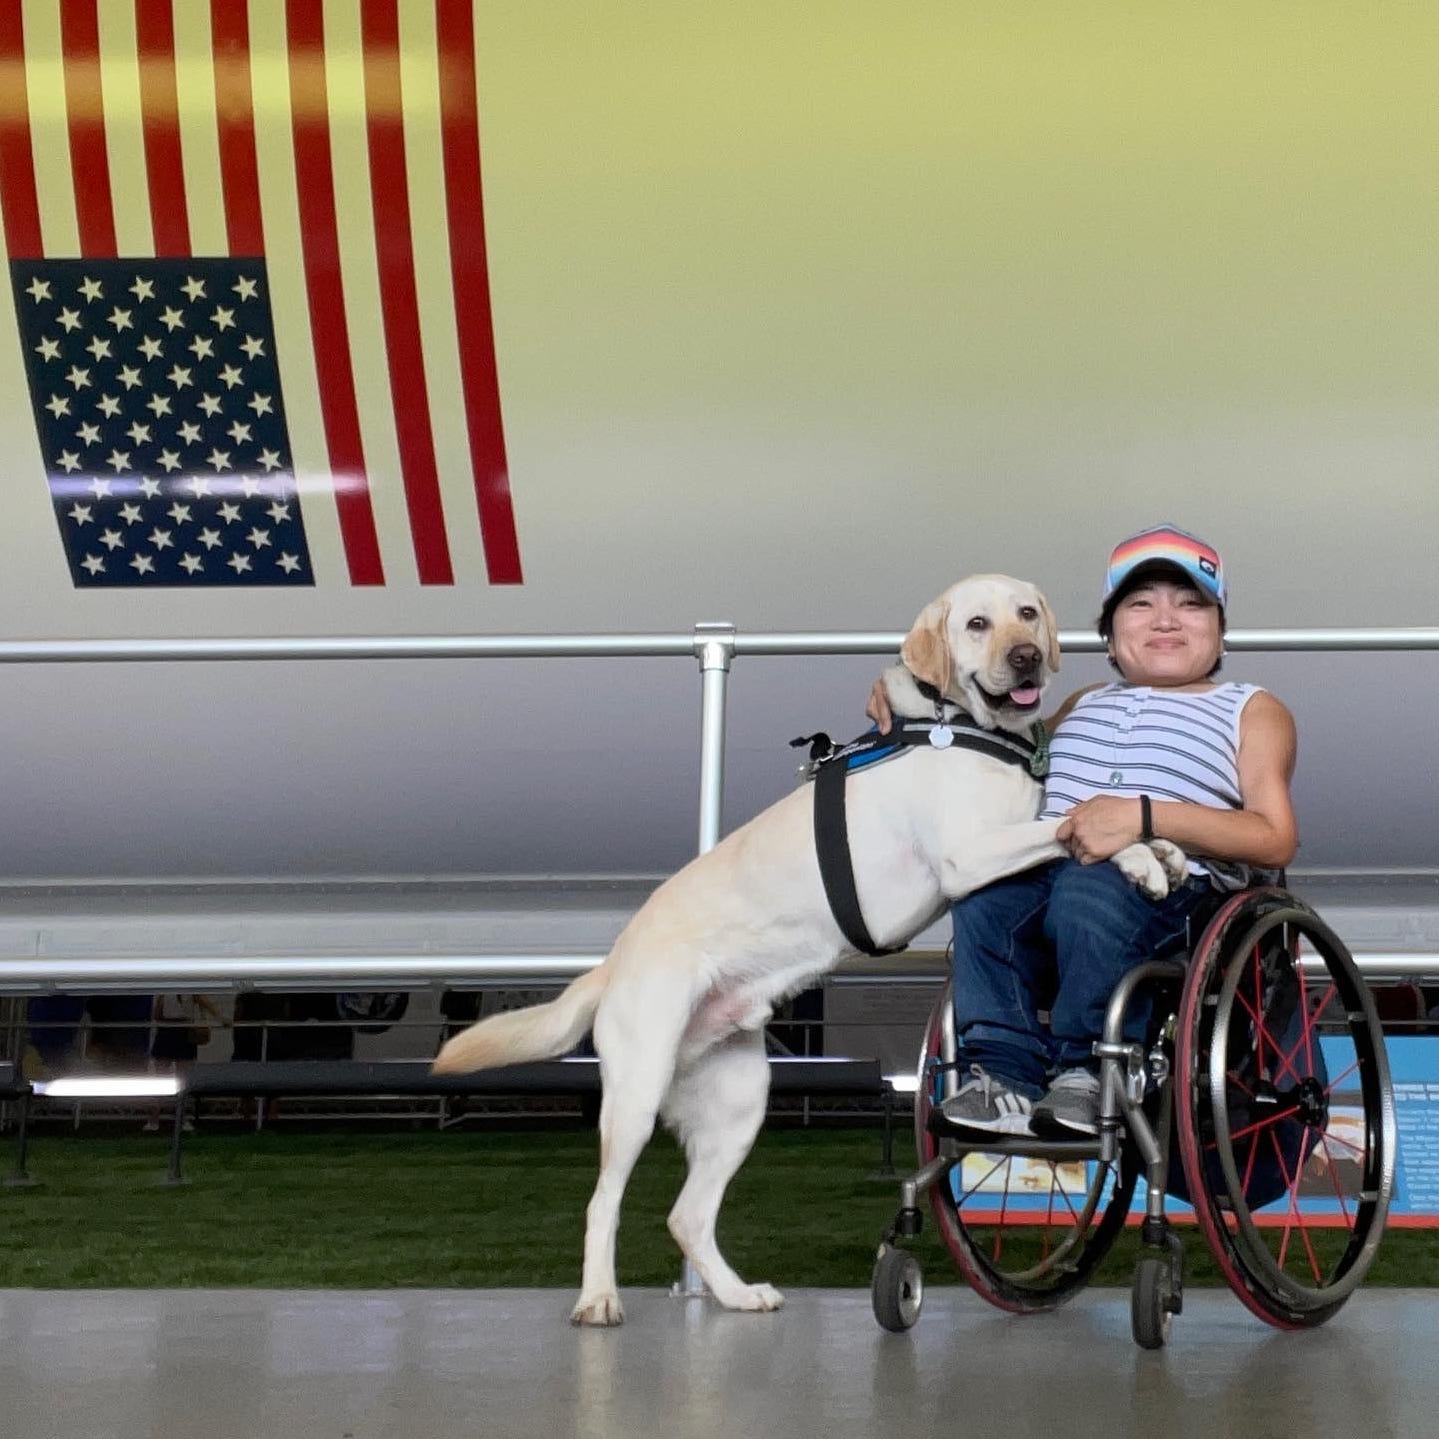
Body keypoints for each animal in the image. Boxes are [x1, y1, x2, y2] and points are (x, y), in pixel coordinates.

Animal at [431, 572, 1185, 1323]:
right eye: (977, 624)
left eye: (1027, 613)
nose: (1026, 657)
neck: (960, 725)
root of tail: (614, 959)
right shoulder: (967, 855)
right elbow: (1072, 825)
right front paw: (1142, 859)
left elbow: (1079, 822)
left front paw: (1165, 850)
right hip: (636, 1095)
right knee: (602, 1203)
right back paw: (598, 1297)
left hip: (740, 1103)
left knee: (686, 1215)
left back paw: (736, 1294)